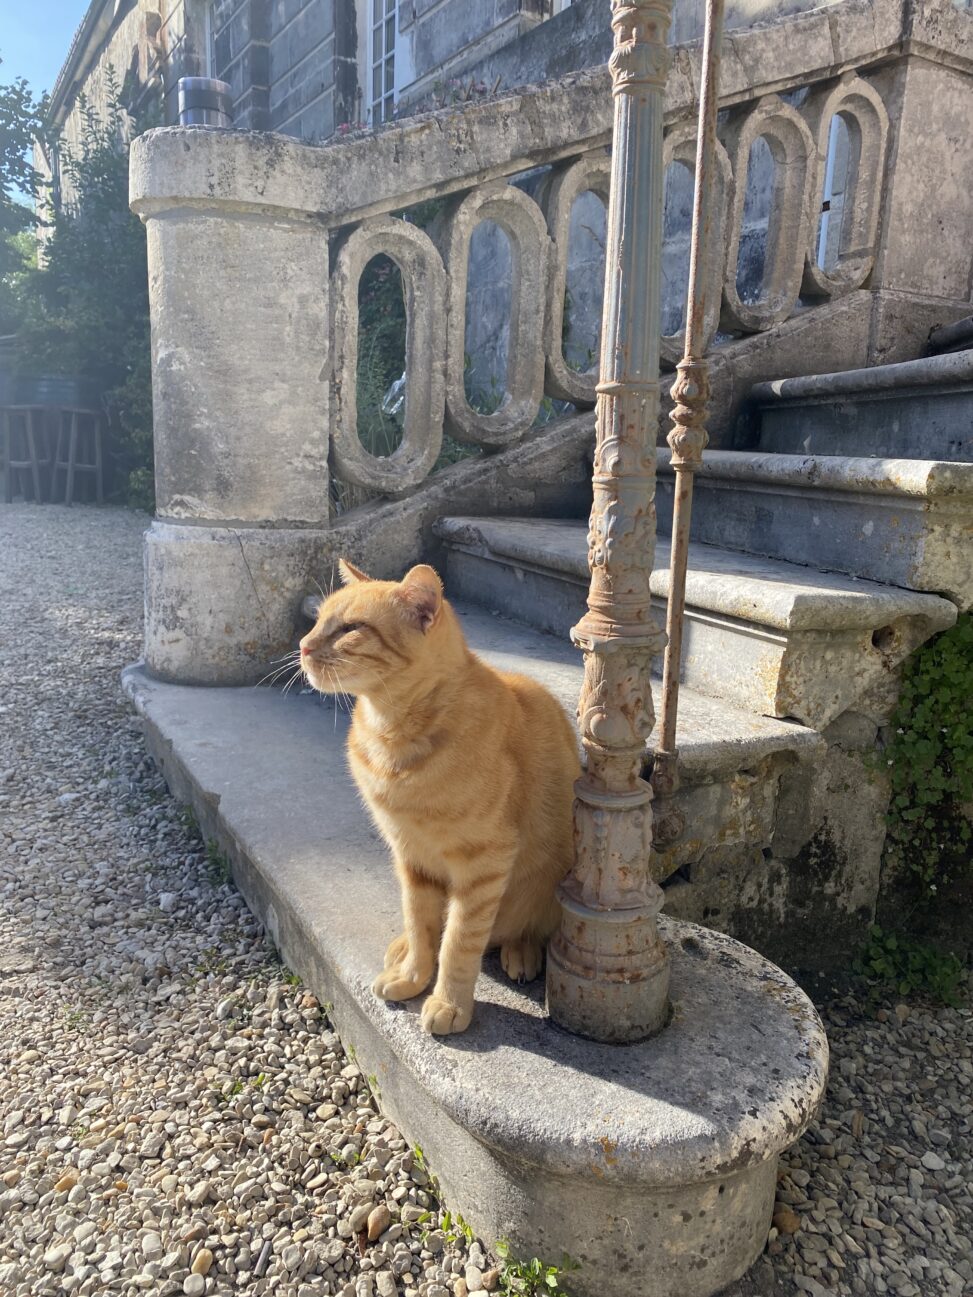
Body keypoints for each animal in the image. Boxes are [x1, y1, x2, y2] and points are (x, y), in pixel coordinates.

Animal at [300, 557, 583, 1032]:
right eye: (317, 621)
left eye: (351, 628)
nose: (301, 646)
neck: (393, 734)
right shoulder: (410, 855)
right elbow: (421, 922)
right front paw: (413, 974)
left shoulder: (484, 863)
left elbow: (459, 943)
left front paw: (449, 1002)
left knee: (526, 929)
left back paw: (521, 950)